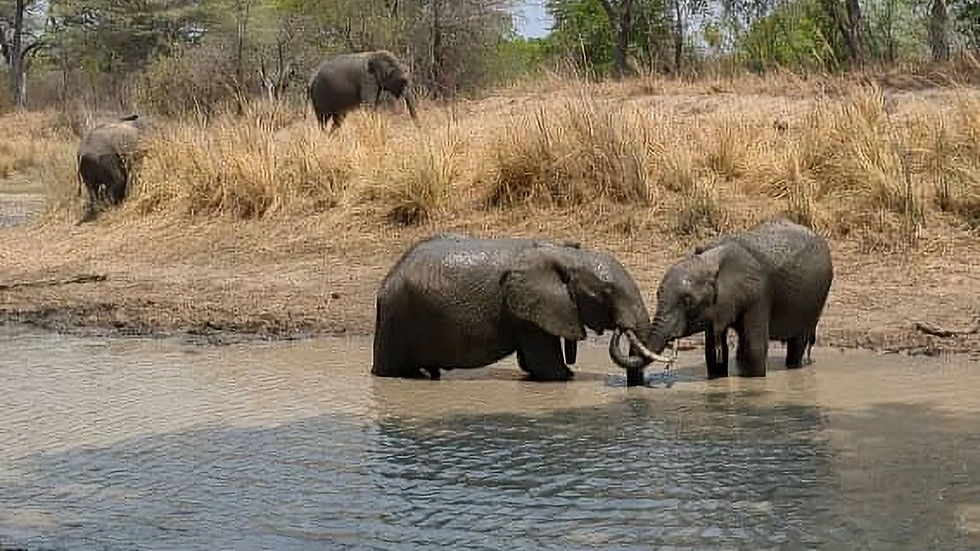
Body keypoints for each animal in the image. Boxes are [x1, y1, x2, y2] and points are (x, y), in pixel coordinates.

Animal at [371, 233, 665, 382]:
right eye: (605, 293)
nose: (620, 328)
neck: (565, 254)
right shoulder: (527, 311)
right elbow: (544, 365)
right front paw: (567, 375)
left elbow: (531, 363)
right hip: (398, 319)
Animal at [637, 218, 834, 378]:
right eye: (657, 295)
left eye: (688, 301)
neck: (710, 259)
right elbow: (713, 352)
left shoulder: (758, 293)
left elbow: (755, 348)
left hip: (815, 298)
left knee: (797, 342)